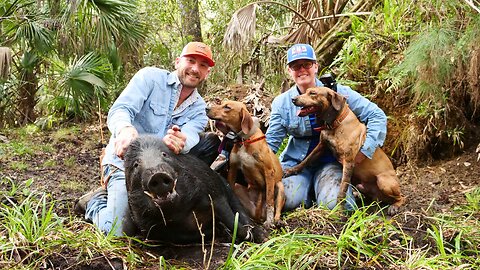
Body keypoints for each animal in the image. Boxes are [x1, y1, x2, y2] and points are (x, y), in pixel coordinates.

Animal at [284, 86, 404, 215]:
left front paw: (339, 207)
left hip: (384, 181)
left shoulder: (349, 162)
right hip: (362, 185)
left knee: (402, 196)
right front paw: (292, 170)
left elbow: (342, 188)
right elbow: (306, 160)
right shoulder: (321, 146)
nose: (293, 99)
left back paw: (395, 206)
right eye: (306, 91)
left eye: (313, 93)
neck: (335, 123)